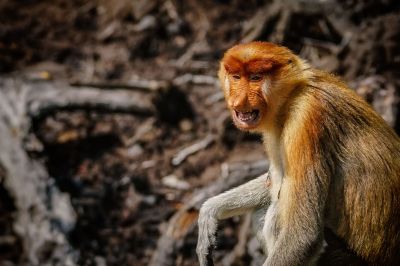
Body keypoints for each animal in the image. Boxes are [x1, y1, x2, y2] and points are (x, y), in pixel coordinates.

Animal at [197, 42, 400, 266]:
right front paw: (209, 212)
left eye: (256, 77)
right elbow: (271, 181)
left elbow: (303, 235)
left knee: (276, 214)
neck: (292, 94)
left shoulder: (306, 118)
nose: (239, 101)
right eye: (236, 76)